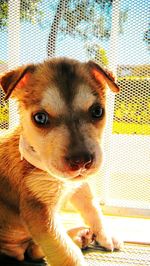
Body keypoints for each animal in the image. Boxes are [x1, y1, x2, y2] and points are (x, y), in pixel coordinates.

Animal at [0, 57, 122, 264]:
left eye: (98, 111)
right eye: (40, 118)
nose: (82, 161)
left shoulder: (80, 186)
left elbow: (93, 209)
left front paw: (106, 235)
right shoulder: (39, 213)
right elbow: (66, 253)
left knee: (35, 249)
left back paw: (79, 236)